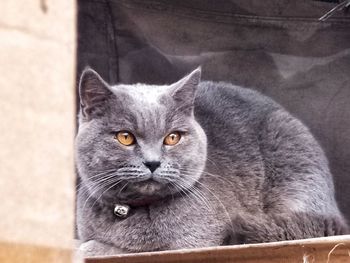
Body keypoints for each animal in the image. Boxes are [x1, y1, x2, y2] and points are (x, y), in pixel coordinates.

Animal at [76, 67, 348, 256]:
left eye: (172, 137)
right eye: (125, 137)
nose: (152, 162)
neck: (129, 211)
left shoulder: (193, 243)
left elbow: (110, 248)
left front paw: (91, 248)